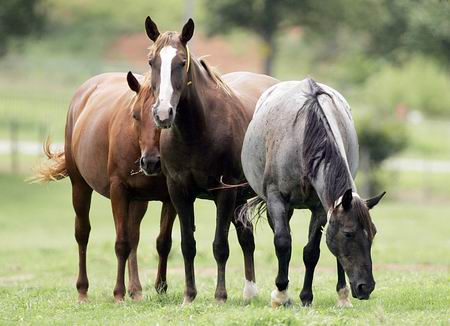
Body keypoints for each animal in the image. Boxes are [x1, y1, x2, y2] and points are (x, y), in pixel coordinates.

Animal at [33, 72, 177, 304]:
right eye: (135, 115)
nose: (151, 162)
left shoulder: (170, 197)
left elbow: (163, 242)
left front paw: (161, 287)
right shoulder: (118, 191)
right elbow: (121, 244)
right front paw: (118, 293)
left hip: (138, 201)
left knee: (134, 236)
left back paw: (136, 290)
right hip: (80, 187)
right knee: (83, 233)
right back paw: (83, 291)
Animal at [144, 16, 280, 304]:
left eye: (181, 62)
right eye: (152, 61)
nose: (163, 113)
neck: (197, 132)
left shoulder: (224, 192)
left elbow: (220, 246)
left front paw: (220, 296)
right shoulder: (179, 192)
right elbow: (187, 245)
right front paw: (189, 295)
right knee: (246, 237)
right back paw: (250, 291)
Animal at [241, 79, 384, 308]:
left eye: (374, 233)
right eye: (349, 233)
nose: (366, 287)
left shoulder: (320, 208)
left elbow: (311, 252)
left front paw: (306, 296)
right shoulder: (276, 199)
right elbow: (283, 243)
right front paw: (281, 295)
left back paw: (342, 295)